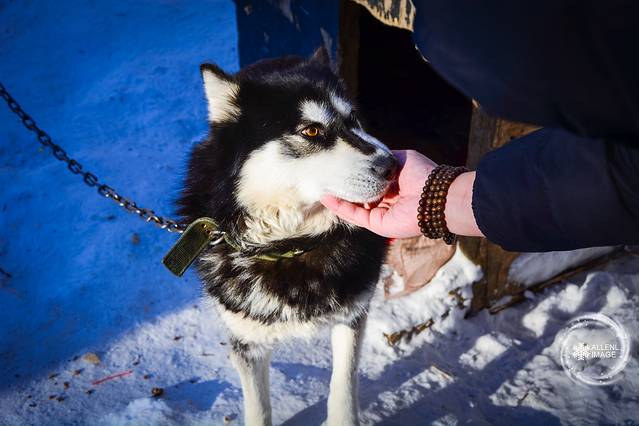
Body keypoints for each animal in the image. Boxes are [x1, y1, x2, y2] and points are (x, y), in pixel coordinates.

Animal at [177, 47, 398, 426]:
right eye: (311, 130)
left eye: (354, 118)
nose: (393, 165)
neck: (290, 247)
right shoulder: (245, 340)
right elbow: (258, 408)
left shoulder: (352, 317)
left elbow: (342, 387)